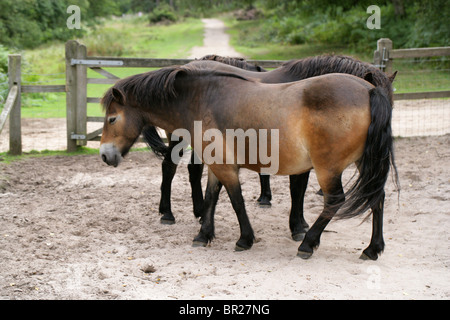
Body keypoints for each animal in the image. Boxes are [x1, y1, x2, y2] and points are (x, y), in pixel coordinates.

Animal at [100, 65, 400, 260]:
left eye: (112, 119)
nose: (104, 155)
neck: (200, 98)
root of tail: (368, 90)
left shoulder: (226, 167)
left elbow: (236, 201)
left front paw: (245, 239)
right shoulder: (217, 164)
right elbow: (212, 197)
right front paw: (203, 235)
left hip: (328, 169)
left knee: (335, 201)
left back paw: (308, 244)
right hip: (363, 163)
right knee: (377, 198)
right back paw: (373, 248)